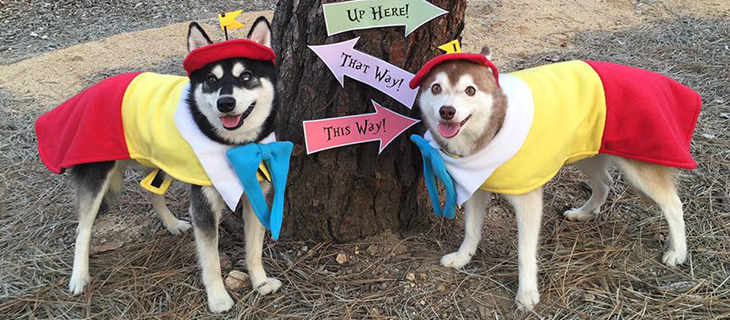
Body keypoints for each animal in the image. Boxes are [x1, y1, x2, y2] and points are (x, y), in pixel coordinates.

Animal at [410, 48, 700, 312]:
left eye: (470, 90)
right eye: (436, 88)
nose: (447, 111)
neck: (494, 128)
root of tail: (658, 80)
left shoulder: (528, 201)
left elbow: (525, 252)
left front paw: (527, 293)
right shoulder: (477, 187)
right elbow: (471, 231)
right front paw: (463, 258)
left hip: (639, 166)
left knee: (673, 204)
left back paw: (678, 252)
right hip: (585, 149)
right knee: (604, 182)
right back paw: (584, 213)